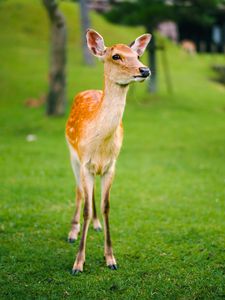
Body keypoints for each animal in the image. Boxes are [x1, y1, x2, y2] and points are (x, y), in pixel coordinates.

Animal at [66, 28, 152, 274]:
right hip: (72, 155)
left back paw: (95, 225)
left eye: (138, 55)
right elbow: (86, 206)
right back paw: (72, 232)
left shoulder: (111, 165)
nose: (145, 70)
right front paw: (78, 263)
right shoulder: (84, 161)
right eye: (116, 56)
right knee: (79, 191)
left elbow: (106, 207)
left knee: (89, 192)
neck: (101, 145)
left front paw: (111, 258)